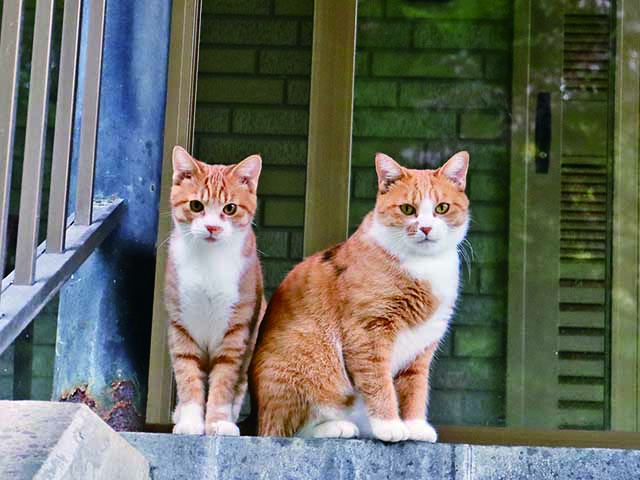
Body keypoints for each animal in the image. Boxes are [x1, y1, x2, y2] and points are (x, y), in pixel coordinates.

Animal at [166, 148, 266, 436]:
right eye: (196, 205)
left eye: (229, 208)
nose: (212, 228)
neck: (209, 262)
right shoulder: (181, 327)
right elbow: (188, 376)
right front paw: (190, 422)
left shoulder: (237, 331)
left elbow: (224, 382)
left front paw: (219, 422)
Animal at [250, 151, 470, 442]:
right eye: (407, 210)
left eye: (441, 208)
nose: (424, 228)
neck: (424, 266)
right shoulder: (369, 332)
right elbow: (379, 383)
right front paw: (389, 425)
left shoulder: (422, 346)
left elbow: (415, 388)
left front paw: (415, 426)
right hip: (311, 368)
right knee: (287, 429)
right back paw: (338, 427)